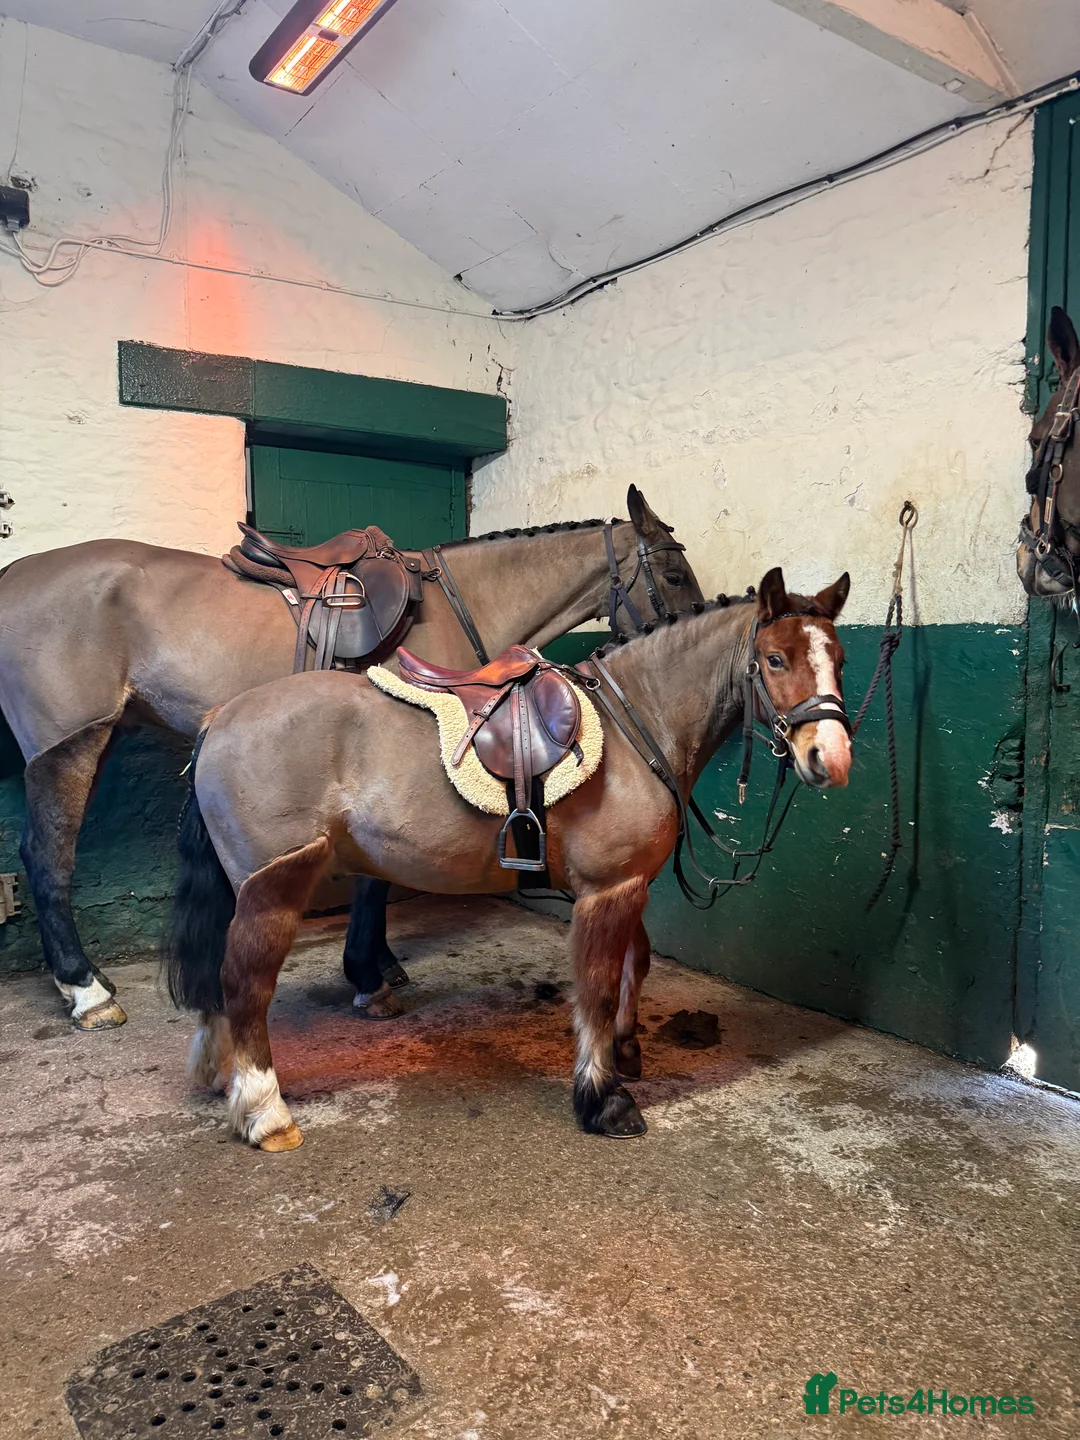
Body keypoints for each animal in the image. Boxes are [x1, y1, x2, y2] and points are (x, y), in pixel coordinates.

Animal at [0, 487, 703, 1031]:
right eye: (672, 575)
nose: (696, 617)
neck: (460, 602)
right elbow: (375, 878)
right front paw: (368, 974)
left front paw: (378, 963)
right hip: (68, 745)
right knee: (47, 855)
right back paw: (85, 990)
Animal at [166, 565, 852, 1152]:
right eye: (774, 659)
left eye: (840, 660)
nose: (832, 757)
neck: (636, 724)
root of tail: (221, 715)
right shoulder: (608, 889)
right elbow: (598, 985)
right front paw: (603, 1099)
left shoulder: (629, 883)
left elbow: (637, 962)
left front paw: (626, 1049)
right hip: (274, 883)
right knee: (246, 982)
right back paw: (265, 1112)